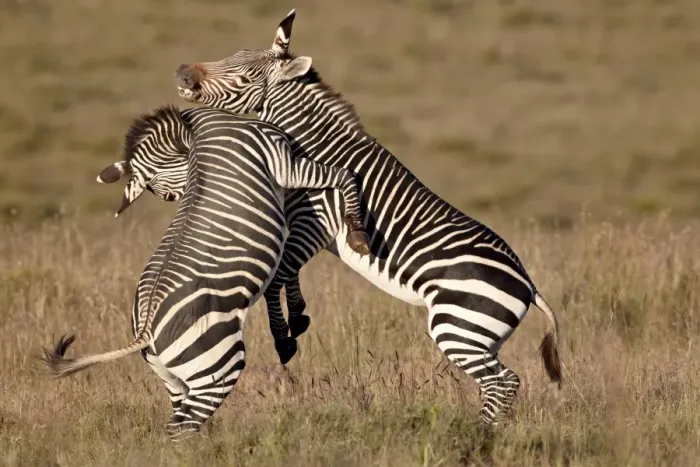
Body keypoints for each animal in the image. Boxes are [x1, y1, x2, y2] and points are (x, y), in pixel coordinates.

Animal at [40, 104, 371, 438]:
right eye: (165, 194)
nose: (180, 196)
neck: (197, 127)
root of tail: (146, 330)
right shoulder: (285, 164)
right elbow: (344, 175)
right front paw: (358, 232)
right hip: (216, 363)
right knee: (183, 426)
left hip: (172, 377)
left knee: (176, 420)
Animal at [171, 10, 563, 425]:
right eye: (234, 53)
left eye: (244, 75)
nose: (182, 73)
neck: (320, 147)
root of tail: (529, 286)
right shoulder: (307, 227)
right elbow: (288, 277)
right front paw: (299, 318)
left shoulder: (315, 222)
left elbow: (279, 276)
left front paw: (285, 339)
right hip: (478, 336)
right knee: (502, 382)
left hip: (459, 326)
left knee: (503, 382)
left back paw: (481, 432)